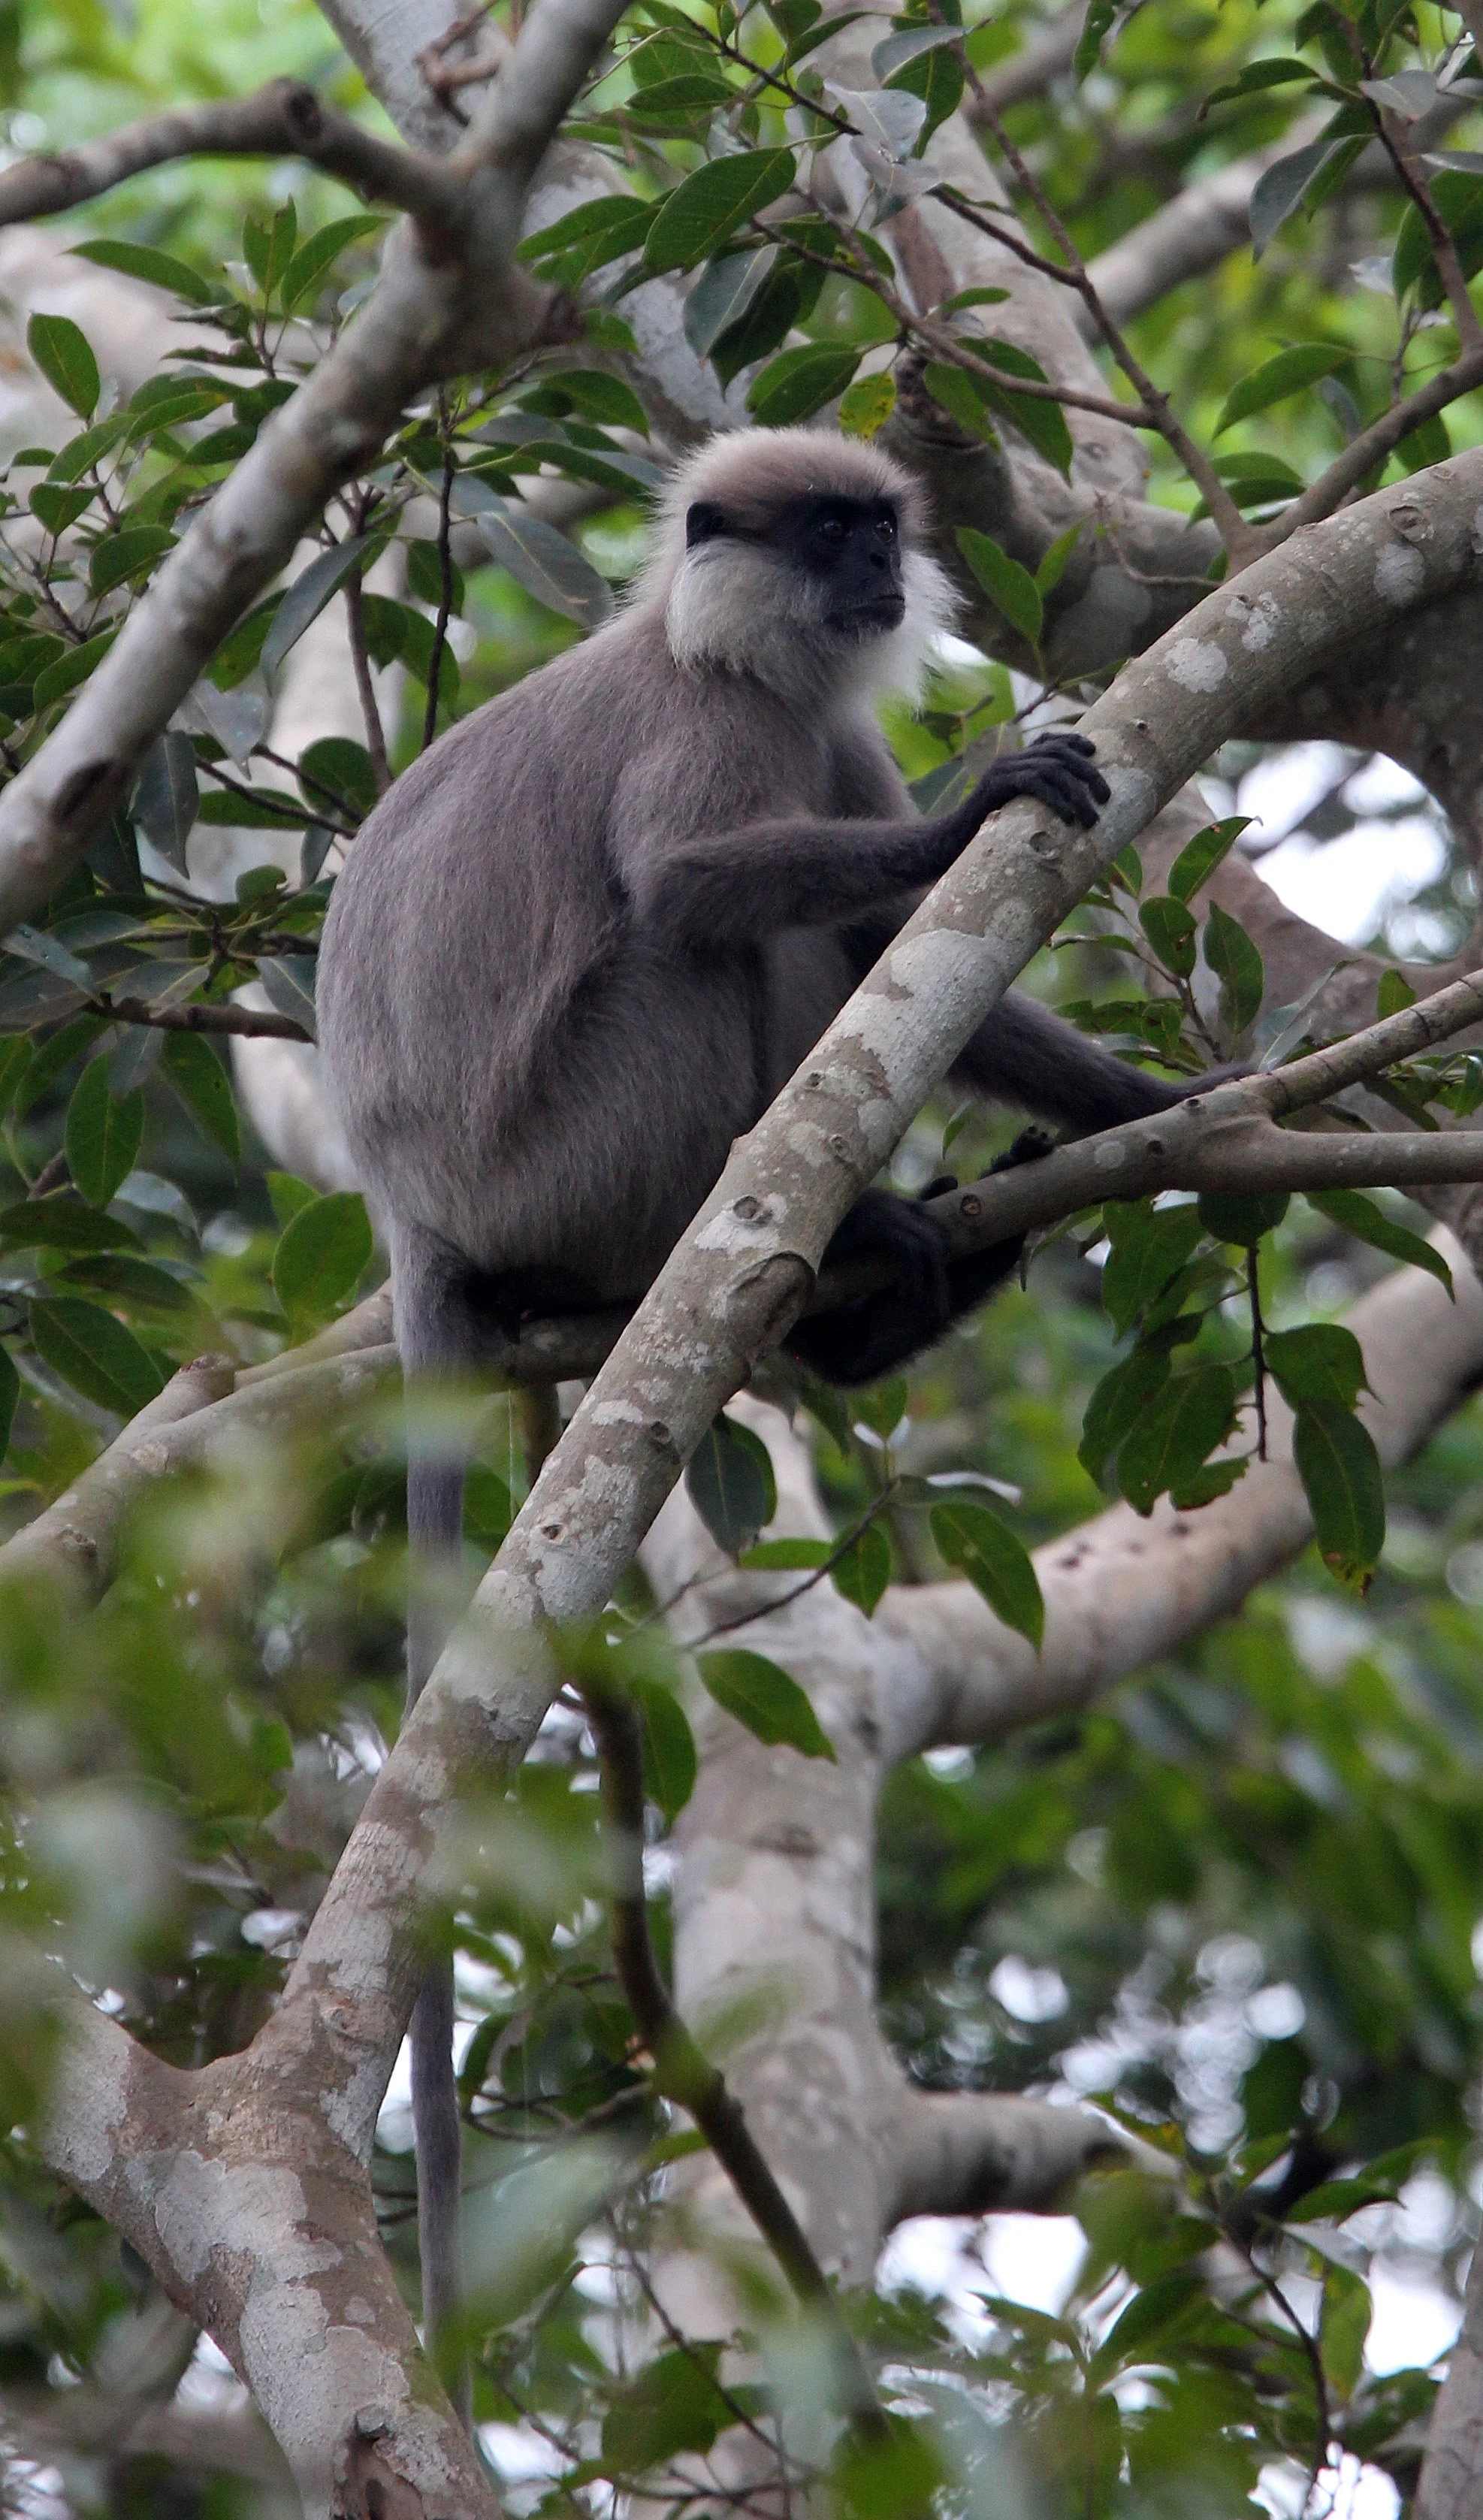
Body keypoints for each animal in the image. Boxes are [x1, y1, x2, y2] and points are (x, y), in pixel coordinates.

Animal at [315, 425, 1233, 2406]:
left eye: (877, 528)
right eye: (824, 535)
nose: (878, 574)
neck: (729, 648)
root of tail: (411, 1212)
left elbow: (909, 951)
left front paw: (1183, 1105)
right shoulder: (721, 720)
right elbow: (695, 888)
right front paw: (973, 816)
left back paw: (892, 1297)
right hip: (578, 1150)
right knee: (704, 951)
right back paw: (826, 1251)